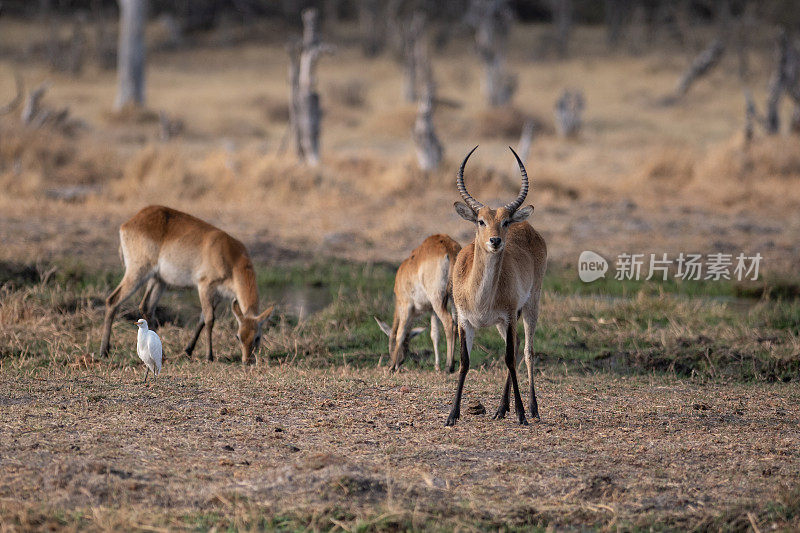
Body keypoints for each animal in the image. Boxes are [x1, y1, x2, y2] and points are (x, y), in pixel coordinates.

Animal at [99, 206, 276, 364]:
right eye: (238, 336)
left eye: (257, 337)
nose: (247, 361)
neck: (231, 258)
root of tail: (129, 222)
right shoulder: (205, 287)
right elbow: (210, 319)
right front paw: (209, 356)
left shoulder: (218, 295)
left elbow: (202, 319)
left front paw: (188, 350)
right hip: (137, 272)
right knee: (113, 300)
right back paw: (104, 351)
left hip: (158, 280)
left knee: (146, 307)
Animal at [376, 235, 462, 372]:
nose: (400, 361)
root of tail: (449, 249)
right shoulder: (432, 310)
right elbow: (434, 334)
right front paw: (437, 366)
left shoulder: (406, 306)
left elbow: (400, 333)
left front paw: (391, 367)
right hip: (453, 299)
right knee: (456, 324)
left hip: (437, 300)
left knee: (449, 323)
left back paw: (449, 366)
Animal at [444, 144, 552, 424]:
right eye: (481, 220)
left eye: (505, 222)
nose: (495, 241)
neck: (480, 298)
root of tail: (528, 225)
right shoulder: (464, 320)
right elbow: (464, 362)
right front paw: (452, 415)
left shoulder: (510, 316)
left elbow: (510, 359)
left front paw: (522, 414)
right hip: (504, 323)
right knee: (515, 347)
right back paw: (501, 409)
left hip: (530, 306)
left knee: (526, 352)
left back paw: (532, 409)